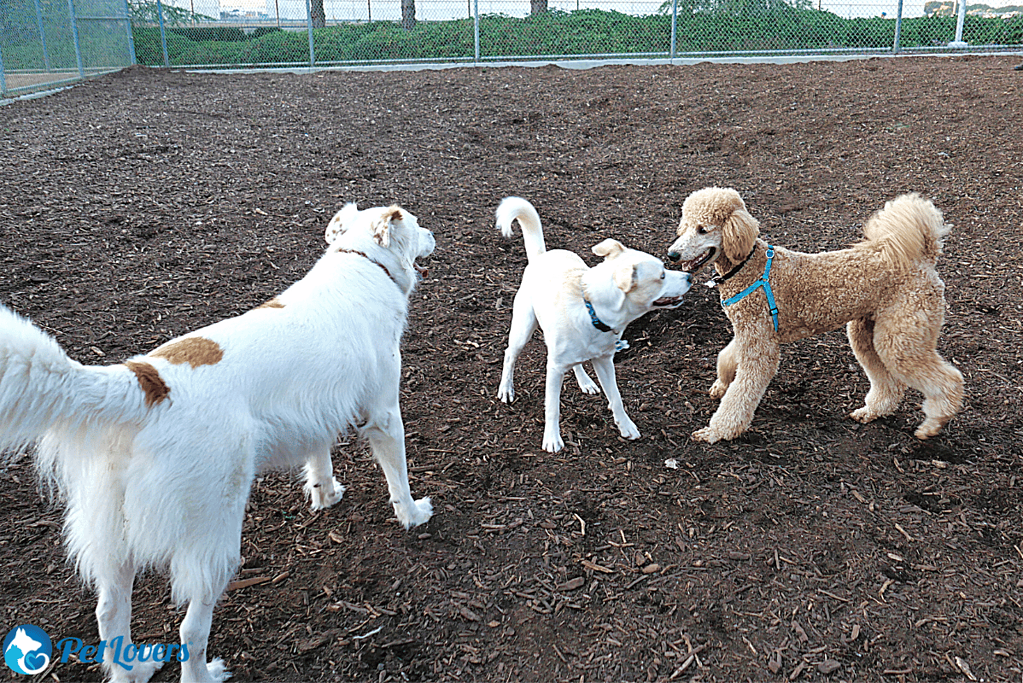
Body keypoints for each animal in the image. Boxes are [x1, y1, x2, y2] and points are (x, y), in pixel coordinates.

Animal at [0, 202, 435, 683]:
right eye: (417, 225)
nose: (434, 235)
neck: (361, 261)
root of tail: (147, 383)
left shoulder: (314, 412)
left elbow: (318, 459)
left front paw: (326, 496)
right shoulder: (384, 414)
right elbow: (398, 477)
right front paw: (413, 515)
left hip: (115, 540)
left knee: (109, 613)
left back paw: (135, 668)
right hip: (215, 542)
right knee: (190, 630)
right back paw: (205, 673)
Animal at [497, 196, 695, 453]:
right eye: (661, 276)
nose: (690, 277)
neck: (592, 310)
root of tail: (541, 255)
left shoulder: (604, 361)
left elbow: (616, 397)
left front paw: (626, 426)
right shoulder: (554, 368)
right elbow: (552, 407)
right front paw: (552, 438)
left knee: (576, 364)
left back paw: (585, 381)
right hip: (523, 329)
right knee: (510, 355)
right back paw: (506, 388)